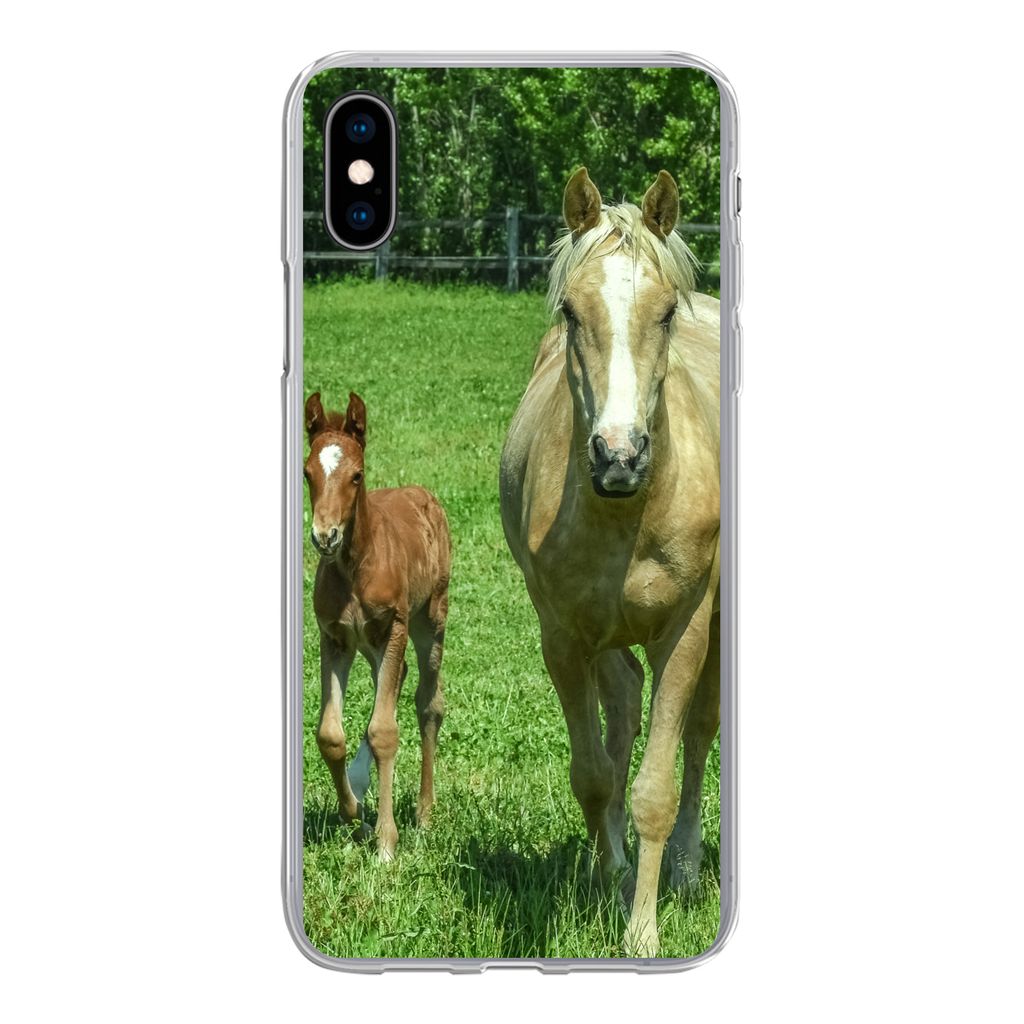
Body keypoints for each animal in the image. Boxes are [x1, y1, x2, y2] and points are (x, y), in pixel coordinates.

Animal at [304, 391, 451, 860]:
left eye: (357, 475)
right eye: (307, 473)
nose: (325, 536)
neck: (355, 566)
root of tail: (422, 493)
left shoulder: (394, 628)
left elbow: (384, 729)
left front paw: (387, 842)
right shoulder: (334, 636)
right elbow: (330, 734)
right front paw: (356, 813)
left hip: (428, 620)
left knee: (428, 702)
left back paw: (424, 815)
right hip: (369, 644)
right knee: (394, 680)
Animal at [499, 168, 721, 956]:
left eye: (665, 312)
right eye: (571, 310)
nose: (619, 456)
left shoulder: (687, 628)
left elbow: (658, 783)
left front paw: (644, 933)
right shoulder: (562, 636)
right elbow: (594, 775)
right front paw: (606, 886)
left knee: (699, 735)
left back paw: (684, 869)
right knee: (622, 706)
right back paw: (622, 864)